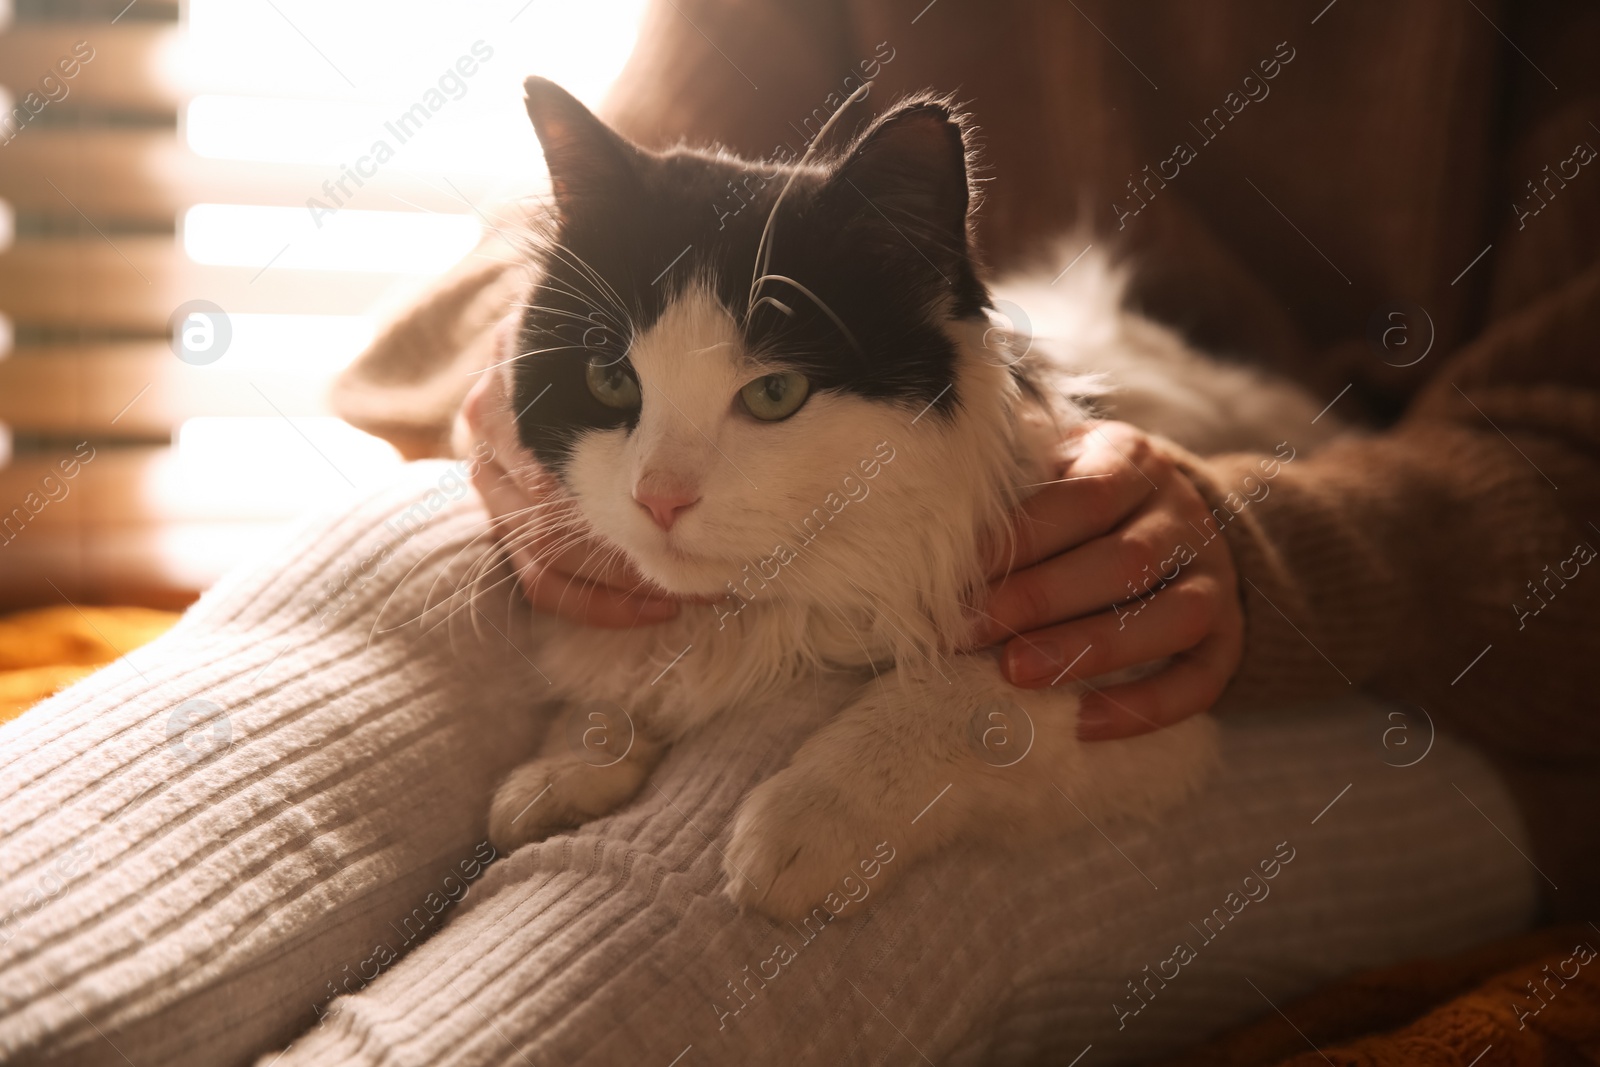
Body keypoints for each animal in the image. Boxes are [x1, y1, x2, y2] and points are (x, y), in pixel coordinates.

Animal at [473, 77, 1337, 921]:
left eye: (775, 394)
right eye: (611, 381)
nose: (658, 498)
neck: (772, 615)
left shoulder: (1145, 701)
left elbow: (962, 691)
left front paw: (803, 826)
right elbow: (615, 688)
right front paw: (561, 766)